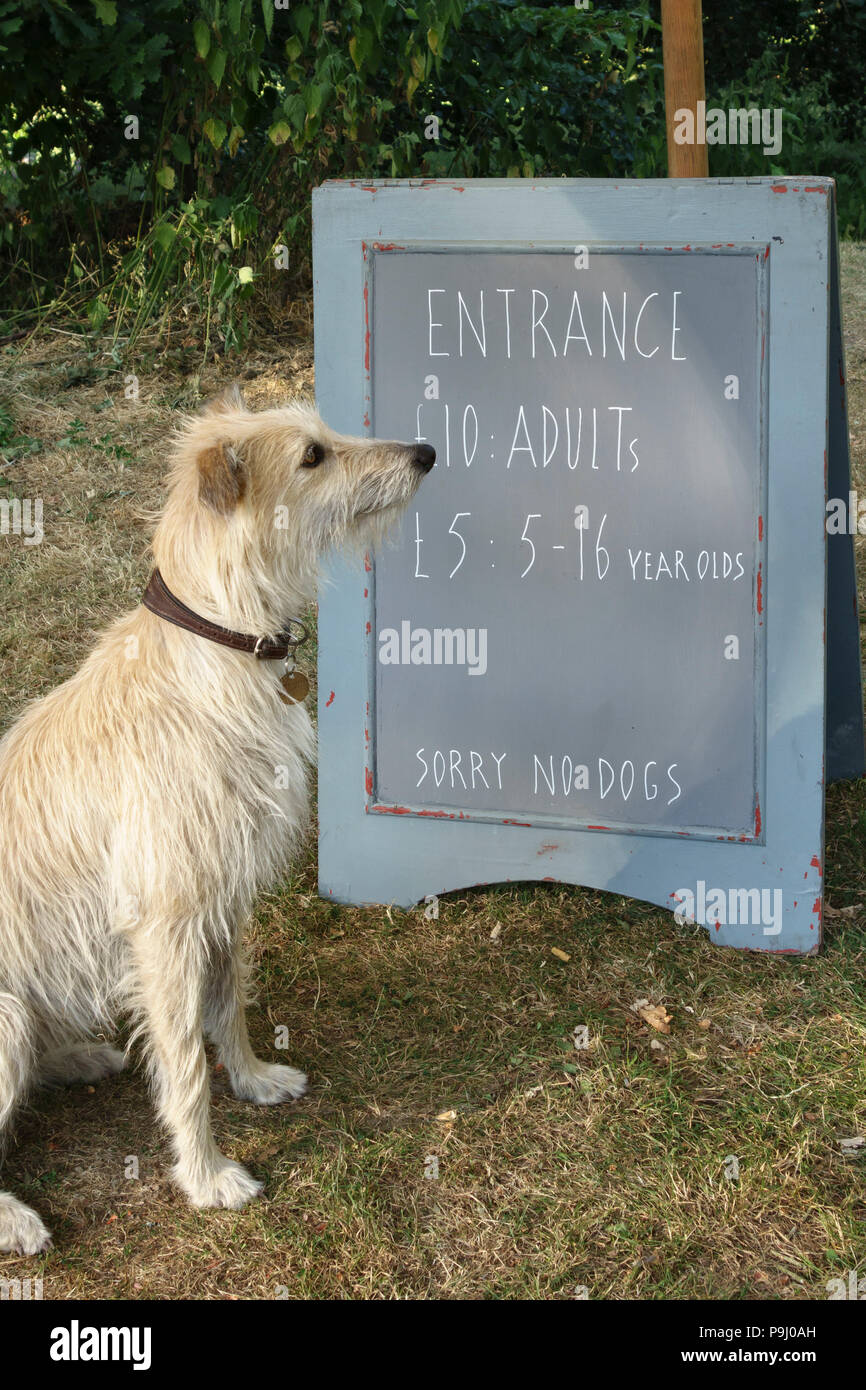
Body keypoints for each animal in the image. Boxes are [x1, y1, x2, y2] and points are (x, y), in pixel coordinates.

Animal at [0, 386, 433, 1256]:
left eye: (327, 434)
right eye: (313, 456)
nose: (426, 453)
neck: (218, 641)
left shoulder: (223, 899)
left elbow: (227, 1003)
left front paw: (257, 1080)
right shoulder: (165, 923)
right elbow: (184, 1063)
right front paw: (205, 1177)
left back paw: (77, 1058)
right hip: (1, 1017)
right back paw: (14, 1214)